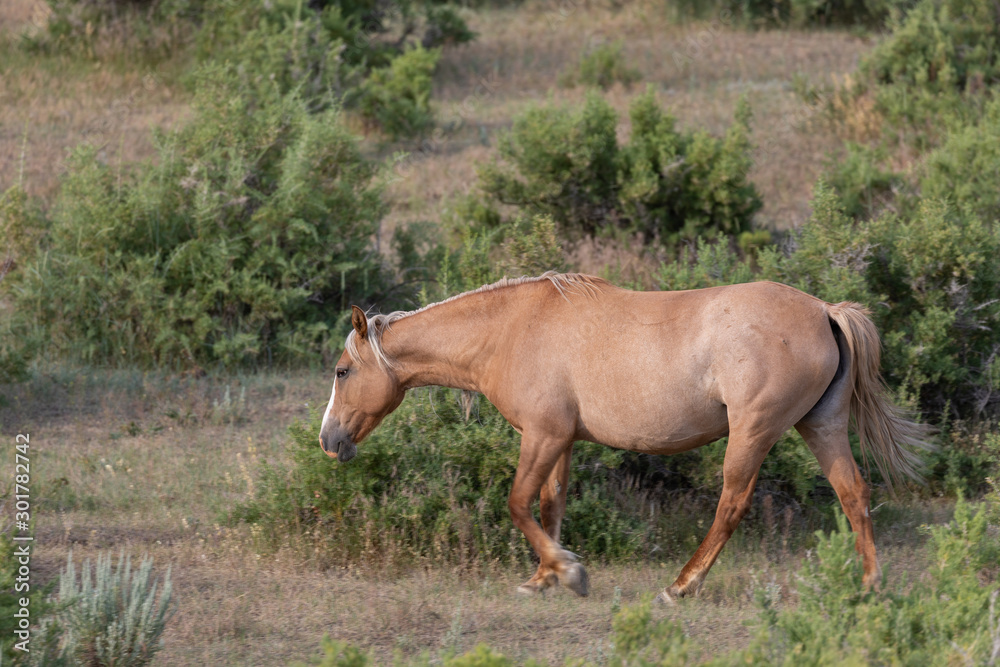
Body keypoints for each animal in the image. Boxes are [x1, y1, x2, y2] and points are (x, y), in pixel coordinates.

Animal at [318, 272, 930, 602]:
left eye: (342, 371)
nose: (328, 441)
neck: (511, 330)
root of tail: (825, 311)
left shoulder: (542, 435)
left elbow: (518, 504)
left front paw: (569, 572)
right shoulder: (561, 440)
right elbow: (550, 505)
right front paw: (544, 578)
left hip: (753, 433)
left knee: (731, 505)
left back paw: (681, 586)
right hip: (820, 426)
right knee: (854, 493)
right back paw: (871, 584)